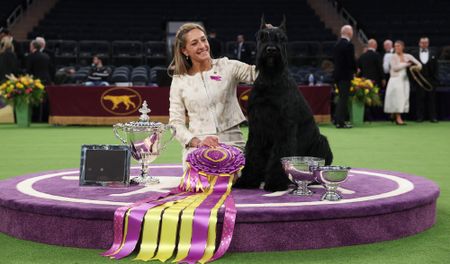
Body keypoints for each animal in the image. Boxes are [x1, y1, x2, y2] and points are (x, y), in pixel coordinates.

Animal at [234, 18, 332, 192]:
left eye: (282, 38)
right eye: (262, 36)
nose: (271, 50)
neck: (270, 79)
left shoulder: (284, 127)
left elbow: (280, 153)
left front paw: (275, 182)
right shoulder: (257, 128)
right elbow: (253, 152)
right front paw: (247, 180)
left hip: (322, 142)